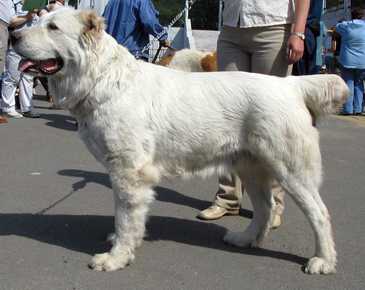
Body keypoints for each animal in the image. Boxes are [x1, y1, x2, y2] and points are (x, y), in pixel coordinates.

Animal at [12, 9, 348, 274]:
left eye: (53, 27)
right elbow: (127, 217)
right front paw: (122, 245)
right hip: (251, 167)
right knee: (265, 208)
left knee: (318, 213)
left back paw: (322, 261)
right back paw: (245, 239)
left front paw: (116, 257)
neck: (103, 78)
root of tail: (291, 85)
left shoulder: (129, 172)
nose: (13, 35)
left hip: (291, 170)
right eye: (36, 20)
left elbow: (125, 217)